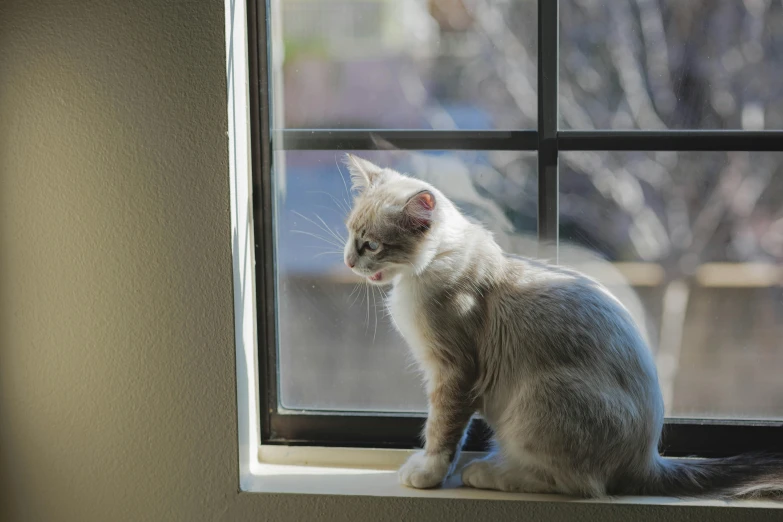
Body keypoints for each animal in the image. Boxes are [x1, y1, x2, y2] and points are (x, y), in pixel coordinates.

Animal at [340, 153, 783, 496]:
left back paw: (488, 471)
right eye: (349, 233)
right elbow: (447, 430)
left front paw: (429, 474)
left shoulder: (452, 371)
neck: (429, 269)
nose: (347, 261)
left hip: (537, 401)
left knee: (578, 485)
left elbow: (442, 430)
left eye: (372, 245)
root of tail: (648, 458)